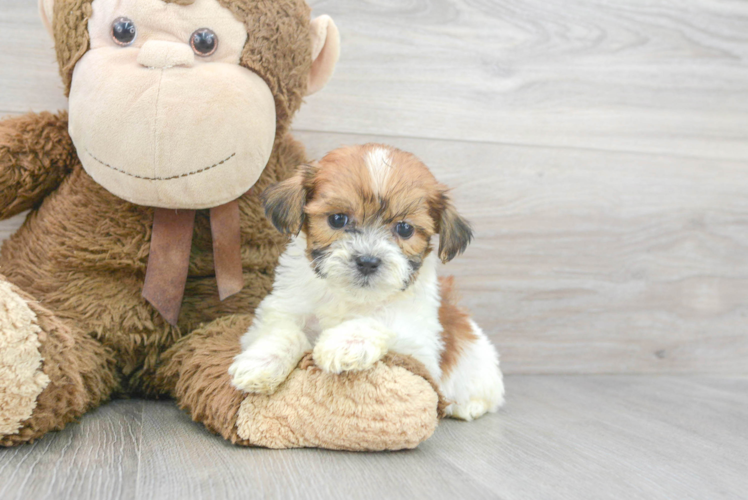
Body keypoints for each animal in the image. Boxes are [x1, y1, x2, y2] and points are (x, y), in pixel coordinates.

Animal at [231, 144, 506, 418]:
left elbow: (381, 321)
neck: (352, 297)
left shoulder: (421, 346)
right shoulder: (284, 307)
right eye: (337, 219)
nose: (367, 261)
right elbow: (282, 331)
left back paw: (468, 406)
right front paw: (260, 363)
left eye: (404, 228)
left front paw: (344, 343)